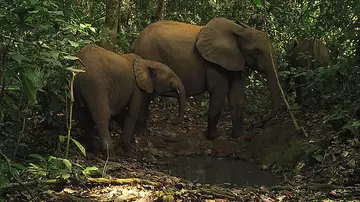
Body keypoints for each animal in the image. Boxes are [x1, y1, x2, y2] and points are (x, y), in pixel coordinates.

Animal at [132, 17, 282, 140]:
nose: (259, 123)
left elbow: (237, 95)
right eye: (256, 51)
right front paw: (213, 137)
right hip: (148, 55)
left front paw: (238, 136)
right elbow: (219, 92)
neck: (239, 30)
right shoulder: (213, 62)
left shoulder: (234, 59)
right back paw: (142, 133)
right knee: (145, 96)